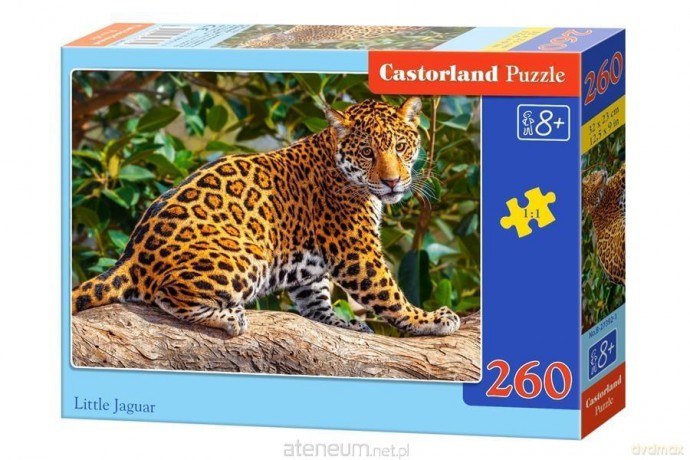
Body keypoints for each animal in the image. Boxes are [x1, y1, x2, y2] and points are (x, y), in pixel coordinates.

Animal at [72, 97, 462, 337]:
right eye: (367, 152)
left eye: (400, 147)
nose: (393, 181)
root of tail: (130, 257)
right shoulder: (358, 252)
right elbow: (390, 296)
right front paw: (430, 319)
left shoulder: (311, 270)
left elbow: (315, 302)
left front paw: (343, 323)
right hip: (245, 255)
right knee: (167, 294)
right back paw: (229, 318)